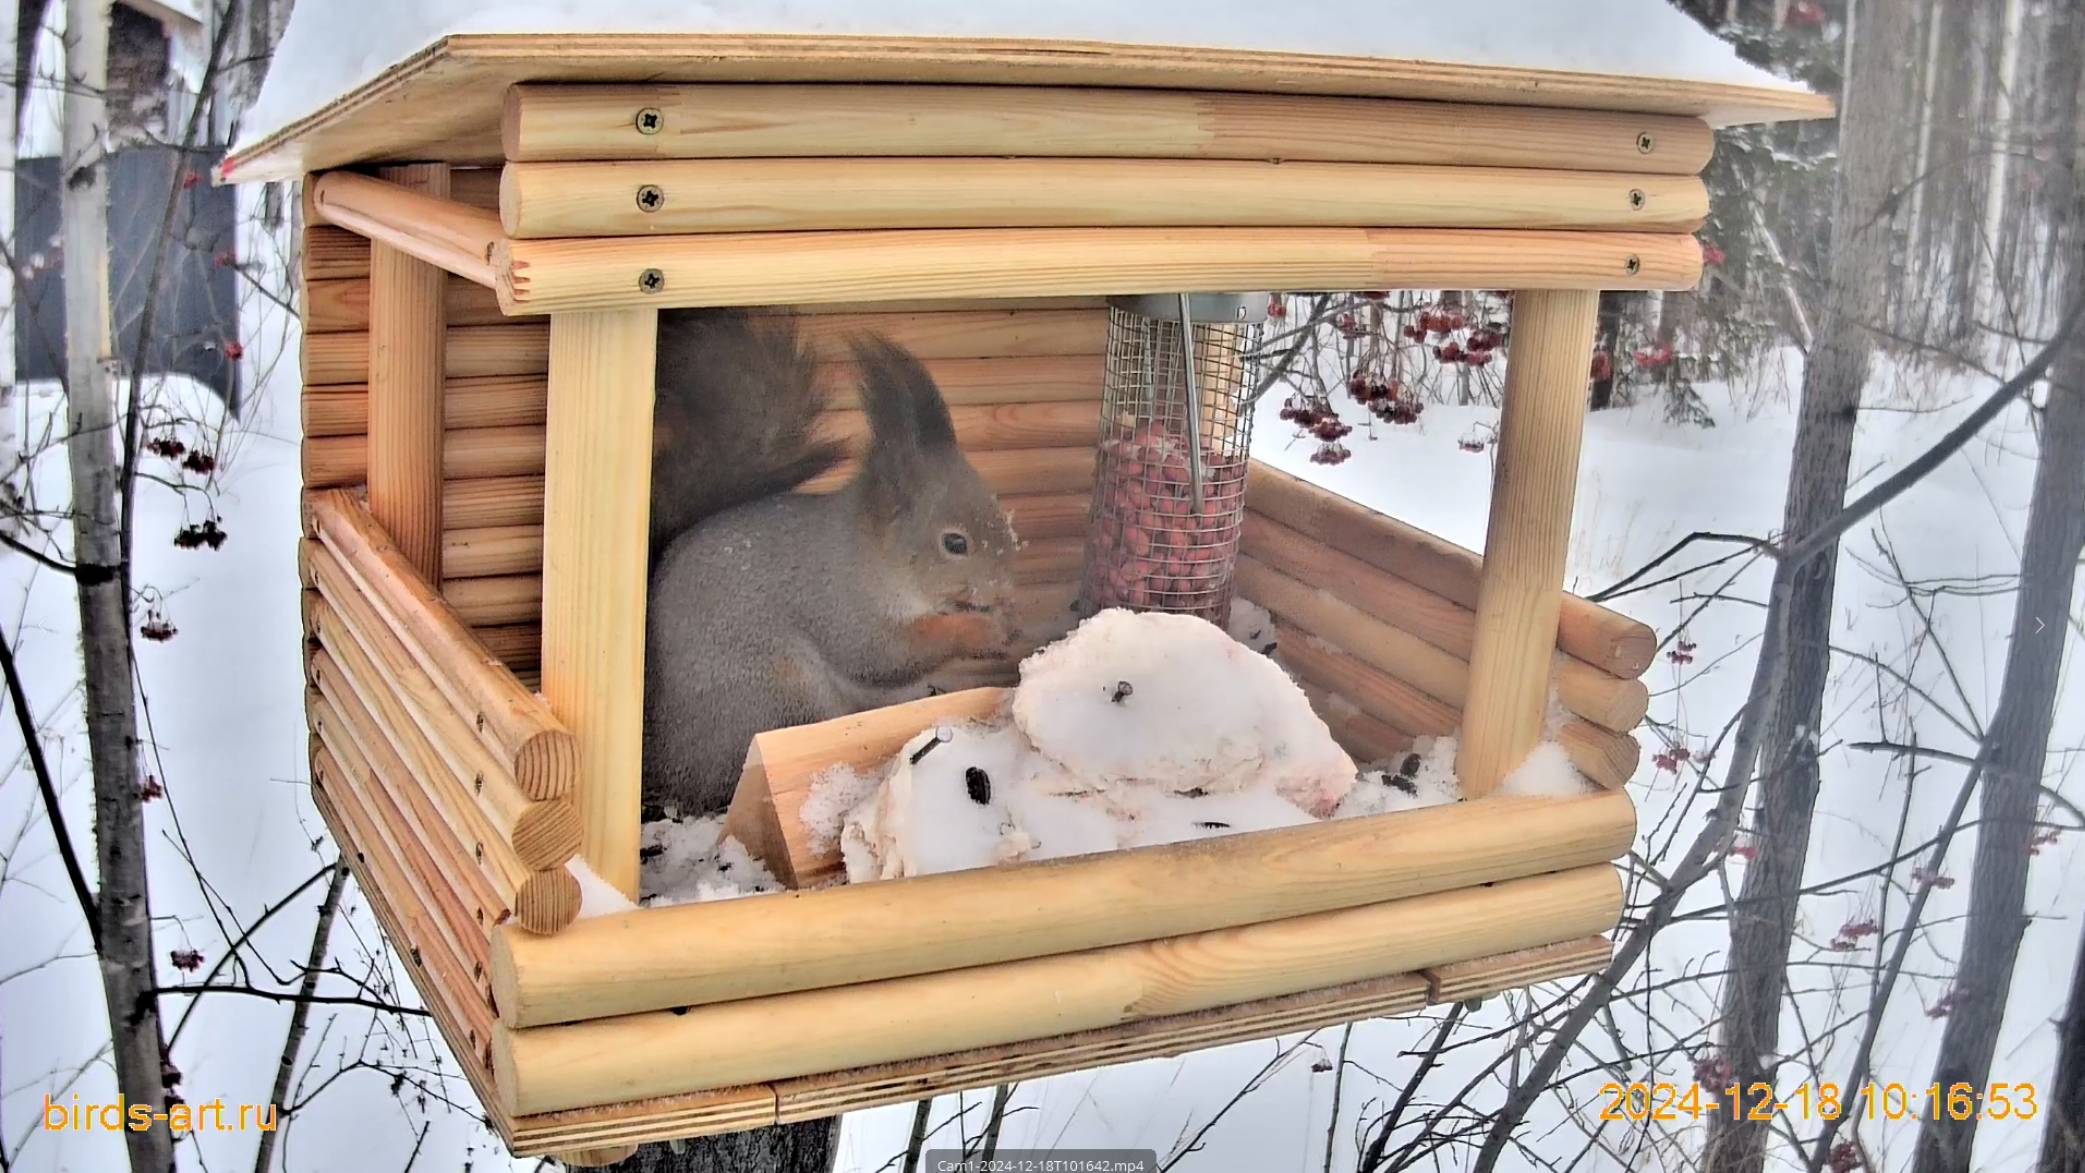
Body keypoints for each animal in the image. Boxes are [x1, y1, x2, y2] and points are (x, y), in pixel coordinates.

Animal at [638, 308, 1021, 812]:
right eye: (954, 543)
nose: (1005, 585)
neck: (869, 555)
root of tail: (666, 764)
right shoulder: (840, 604)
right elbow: (885, 654)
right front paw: (984, 631)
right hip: (777, 692)